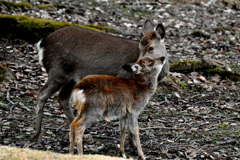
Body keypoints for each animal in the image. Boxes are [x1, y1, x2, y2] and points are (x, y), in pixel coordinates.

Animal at [34, 19, 169, 141]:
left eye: (151, 48)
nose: (135, 65)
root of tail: (42, 43)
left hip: (71, 78)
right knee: (42, 94)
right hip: (58, 71)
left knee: (62, 97)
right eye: (139, 47)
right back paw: (37, 135)